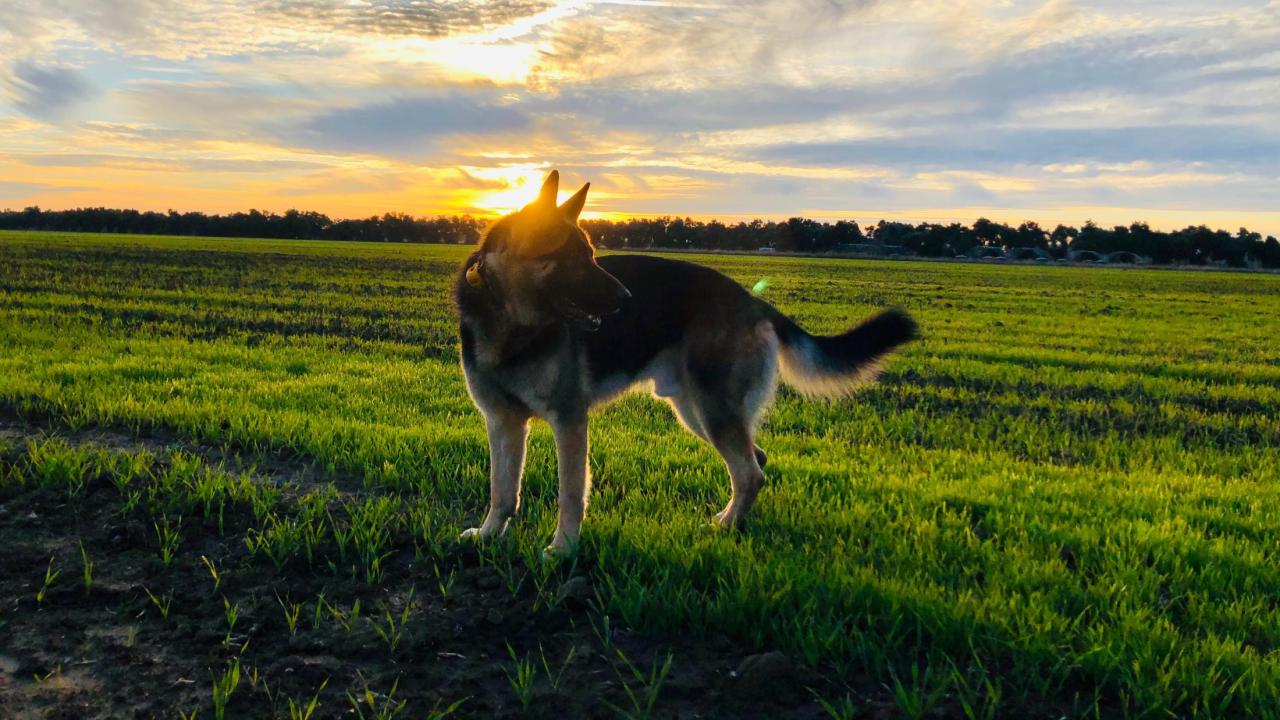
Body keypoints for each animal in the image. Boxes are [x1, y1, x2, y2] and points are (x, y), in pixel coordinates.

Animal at [455, 170, 916, 558]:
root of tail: (752, 300)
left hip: (712, 410)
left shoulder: (569, 421)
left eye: (591, 255)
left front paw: (563, 549)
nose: (626, 299)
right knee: (756, 460)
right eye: (573, 259)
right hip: (699, 412)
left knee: (750, 472)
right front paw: (488, 535)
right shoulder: (502, 421)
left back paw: (726, 528)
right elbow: (502, 490)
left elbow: (570, 492)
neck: (510, 321)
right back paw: (734, 521)